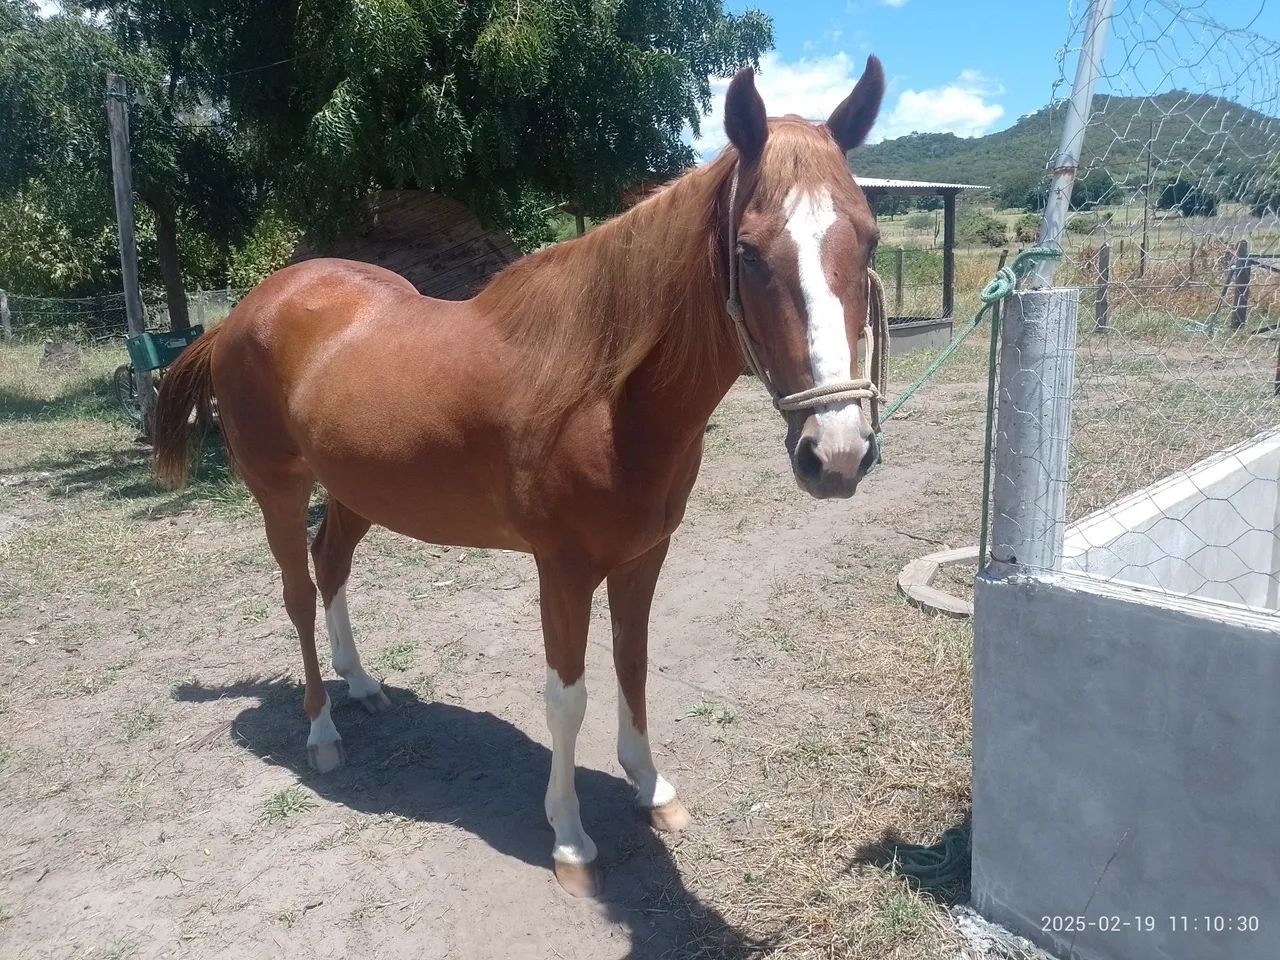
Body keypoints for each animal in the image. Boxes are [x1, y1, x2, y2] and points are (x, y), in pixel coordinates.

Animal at [152, 58, 887, 897]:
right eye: (752, 251)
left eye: (868, 241)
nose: (837, 452)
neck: (602, 395)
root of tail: (242, 313)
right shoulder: (562, 569)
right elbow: (566, 698)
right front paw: (568, 837)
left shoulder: (643, 557)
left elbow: (632, 665)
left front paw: (652, 788)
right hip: (279, 490)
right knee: (299, 597)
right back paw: (322, 731)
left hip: (354, 492)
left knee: (330, 566)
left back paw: (363, 687)